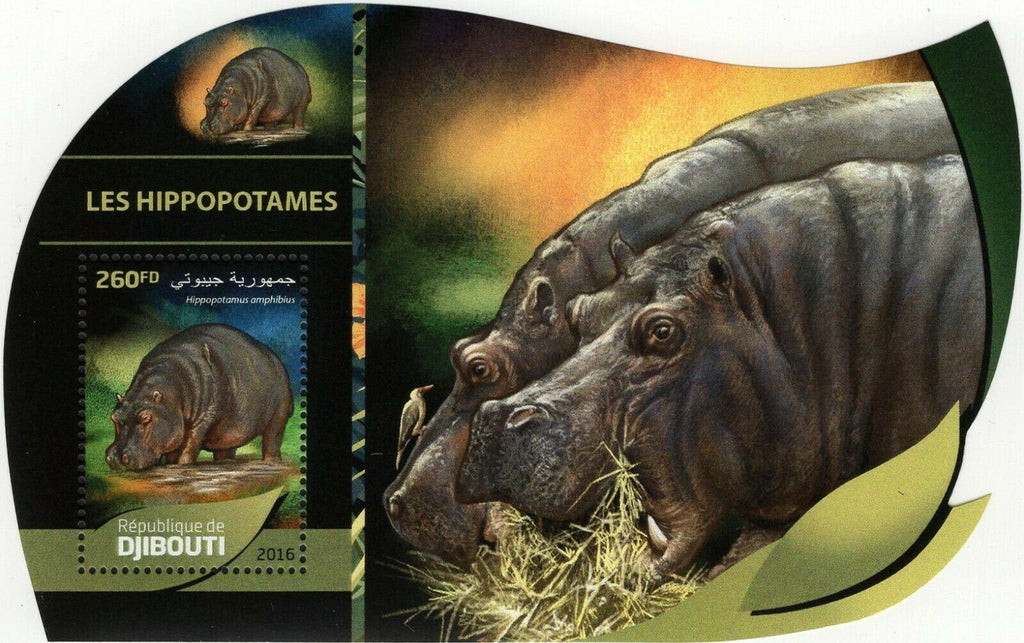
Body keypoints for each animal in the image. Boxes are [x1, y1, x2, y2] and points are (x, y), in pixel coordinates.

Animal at [105, 324, 293, 471]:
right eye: (114, 417)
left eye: (145, 417)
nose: (116, 457)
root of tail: (275, 358)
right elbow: (173, 449)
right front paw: (168, 466)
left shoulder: (203, 419)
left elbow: (189, 446)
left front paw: (182, 467)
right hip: (230, 431)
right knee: (226, 450)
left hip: (279, 415)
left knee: (272, 440)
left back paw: (271, 463)